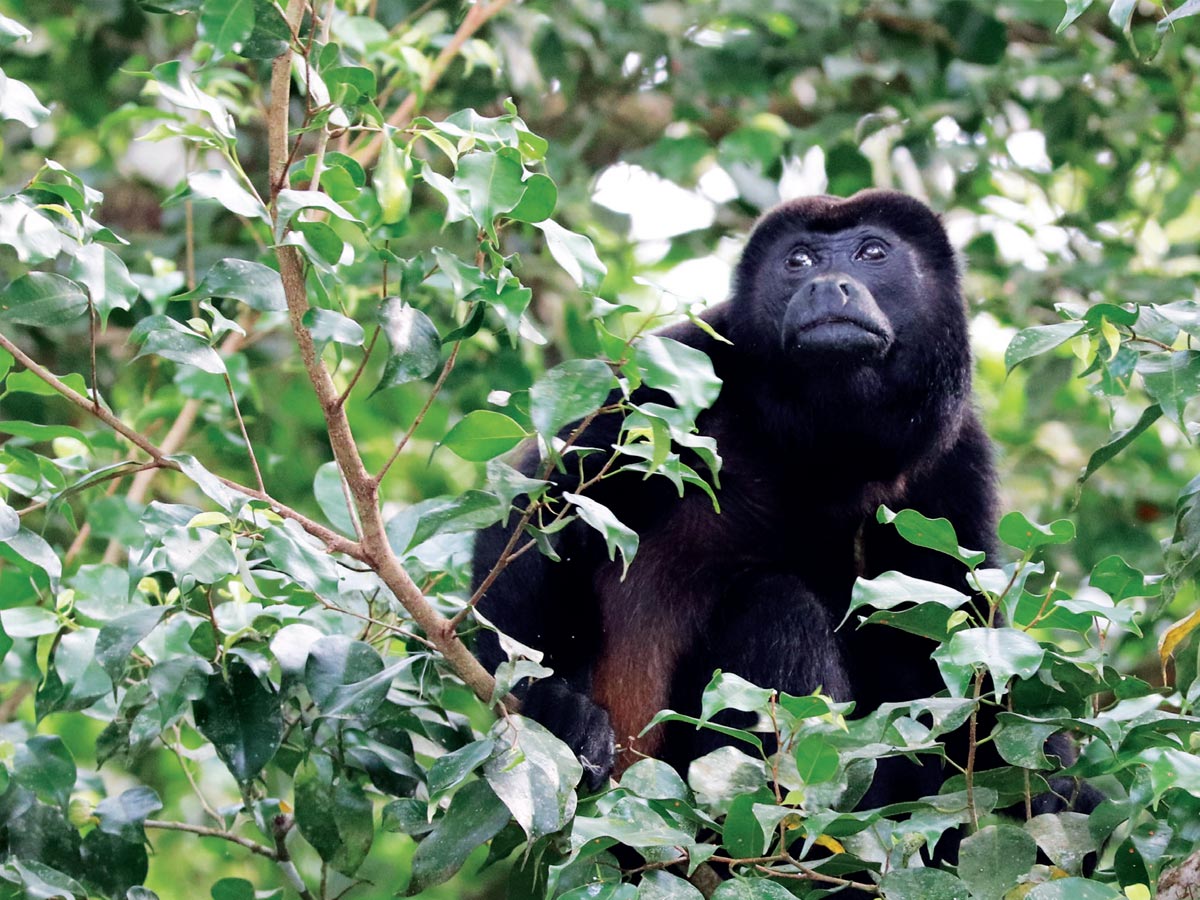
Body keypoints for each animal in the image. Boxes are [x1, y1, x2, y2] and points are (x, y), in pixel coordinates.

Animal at [472, 190, 998, 801]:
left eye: (872, 252)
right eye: (798, 260)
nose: (826, 284)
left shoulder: (956, 454)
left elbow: (959, 640)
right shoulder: (672, 371)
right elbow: (539, 506)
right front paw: (552, 705)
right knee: (776, 603)